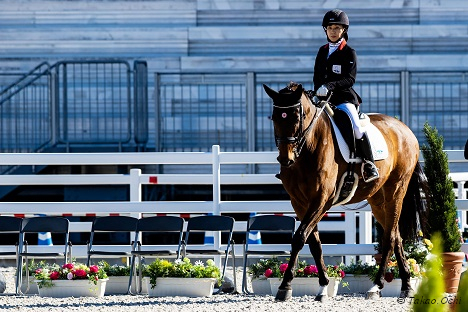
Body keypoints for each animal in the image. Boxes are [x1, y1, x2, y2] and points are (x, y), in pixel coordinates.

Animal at [264, 81, 428, 302]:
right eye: (274, 117)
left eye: (297, 117)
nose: (285, 159)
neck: (308, 148)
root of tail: (405, 129)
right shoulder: (299, 202)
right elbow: (313, 242)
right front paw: (323, 286)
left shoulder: (322, 200)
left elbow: (299, 237)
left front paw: (285, 286)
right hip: (378, 199)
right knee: (396, 235)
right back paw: (406, 286)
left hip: (396, 190)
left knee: (389, 237)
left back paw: (377, 286)